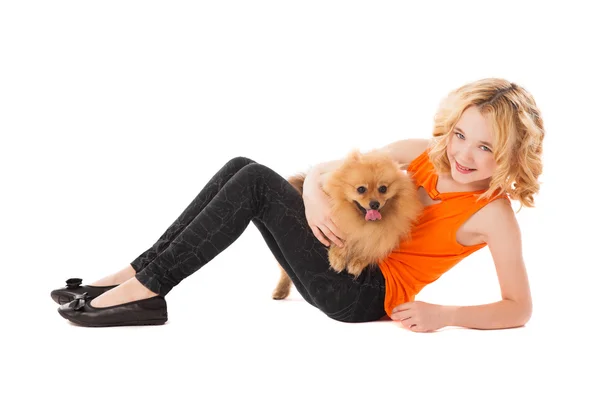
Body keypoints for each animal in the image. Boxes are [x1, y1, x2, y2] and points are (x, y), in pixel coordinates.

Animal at [272, 148, 422, 298]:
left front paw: (357, 262)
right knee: (285, 273)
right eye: (361, 189)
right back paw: (280, 291)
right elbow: (343, 240)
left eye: (383, 189)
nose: (374, 204)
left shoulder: (379, 240)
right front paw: (337, 258)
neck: (364, 224)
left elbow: (369, 250)